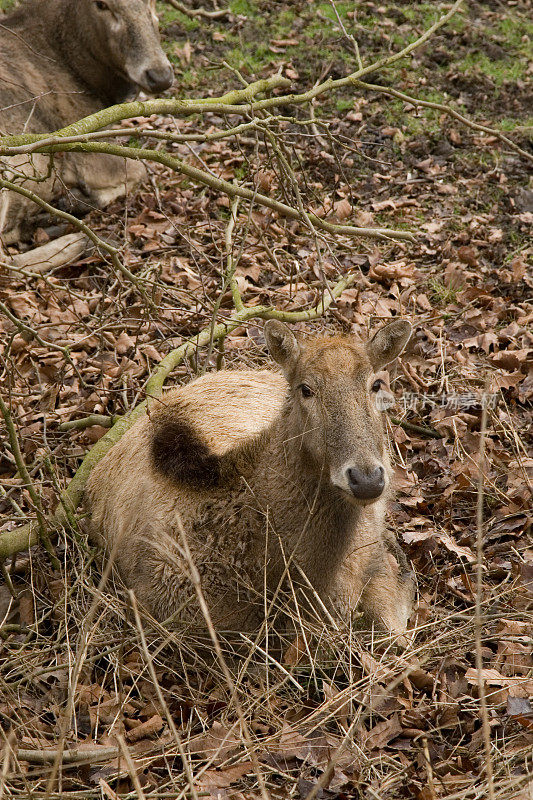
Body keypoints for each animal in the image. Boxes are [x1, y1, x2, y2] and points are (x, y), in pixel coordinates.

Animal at [0, 0, 171, 264]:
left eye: (153, 2)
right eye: (101, 4)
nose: (159, 76)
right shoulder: (79, 144)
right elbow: (140, 169)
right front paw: (76, 200)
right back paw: (84, 240)